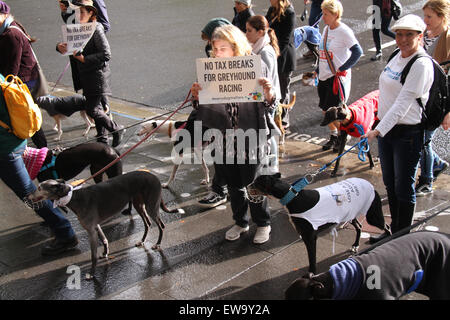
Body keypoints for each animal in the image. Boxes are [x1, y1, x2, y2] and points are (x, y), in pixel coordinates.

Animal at [250, 174, 390, 274]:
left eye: (256, 183)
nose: (247, 186)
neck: (294, 197)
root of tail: (372, 186)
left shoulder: (310, 237)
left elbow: (312, 258)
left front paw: (311, 273)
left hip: (373, 216)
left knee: (387, 227)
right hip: (351, 214)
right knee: (360, 227)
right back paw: (355, 245)